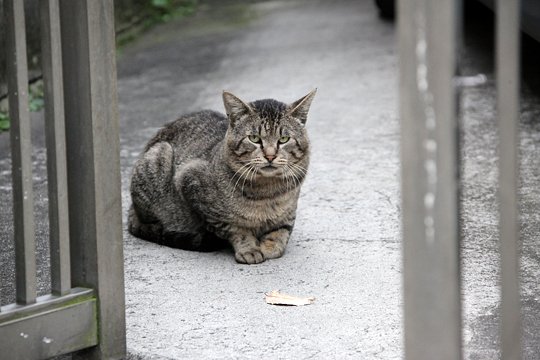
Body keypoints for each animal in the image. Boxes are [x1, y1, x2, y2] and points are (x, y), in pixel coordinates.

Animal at [128, 90, 314, 264]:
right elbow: (235, 228)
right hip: (159, 156)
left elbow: (282, 232)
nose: (270, 156)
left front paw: (270, 246)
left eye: (284, 139)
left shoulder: (290, 211)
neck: (267, 191)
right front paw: (249, 248)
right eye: (254, 138)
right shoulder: (190, 182)